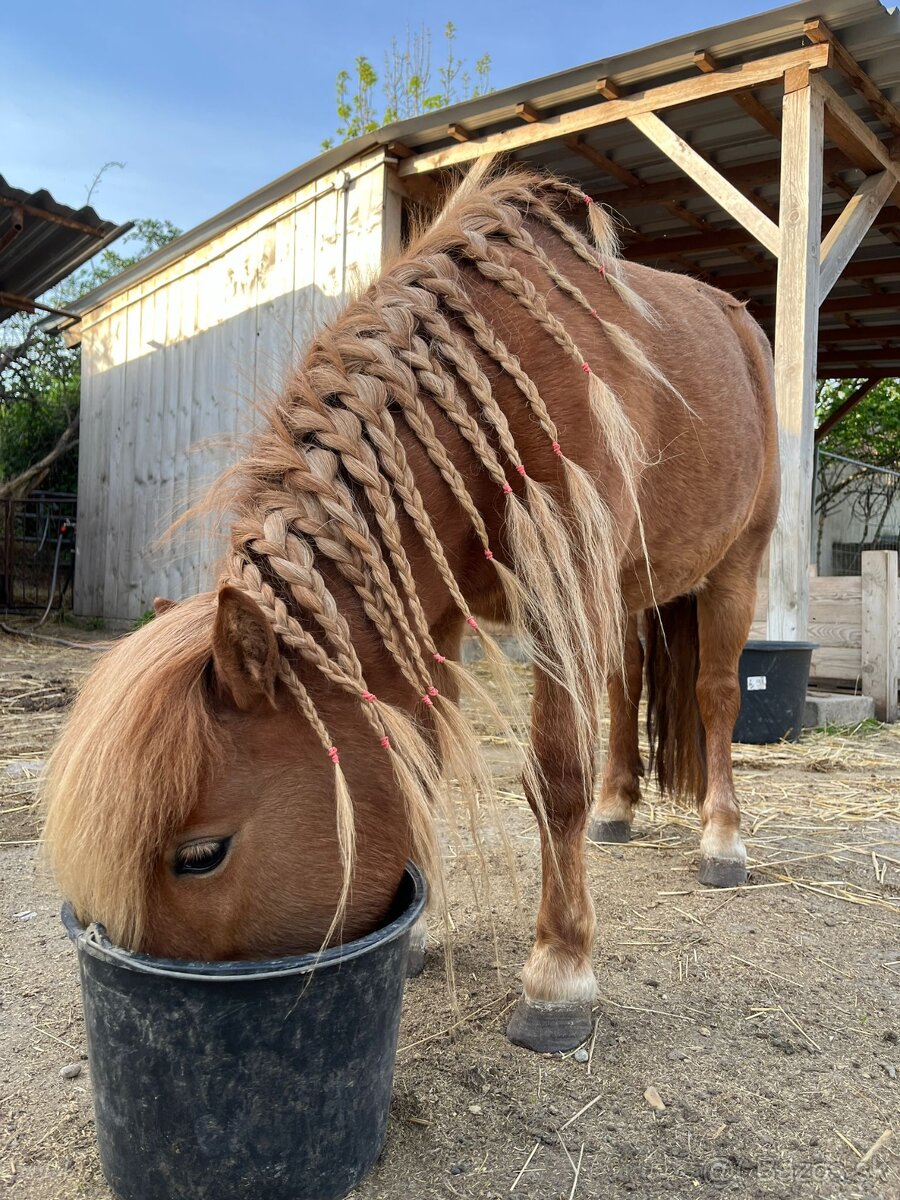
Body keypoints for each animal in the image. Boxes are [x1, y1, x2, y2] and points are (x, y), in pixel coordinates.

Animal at [42, 166, 777, 1051]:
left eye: (201, 855)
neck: (494, 374)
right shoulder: (433, 612)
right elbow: (419, 766)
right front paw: (419, 932)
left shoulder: (563, 580)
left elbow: (555, 774)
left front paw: (560, 973)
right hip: (631, 590)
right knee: (625, 685)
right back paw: (618, 807)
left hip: (736, 563)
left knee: (716, 697)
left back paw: (723, 841)